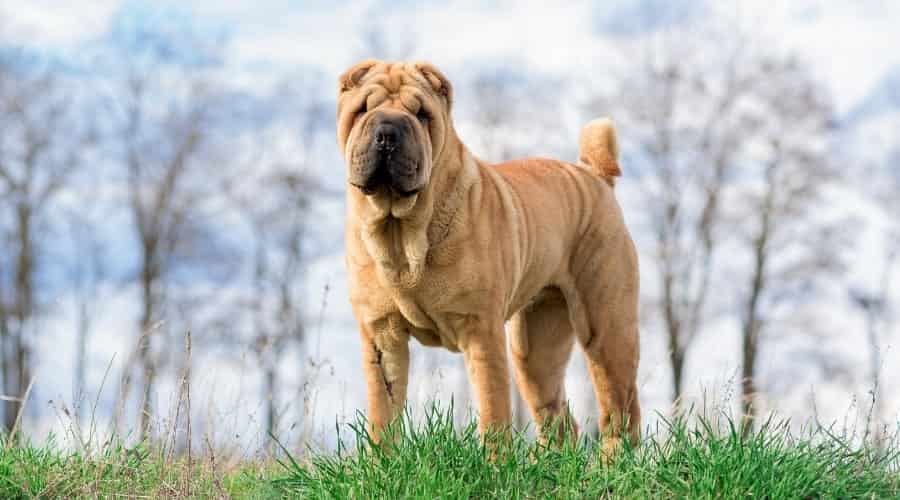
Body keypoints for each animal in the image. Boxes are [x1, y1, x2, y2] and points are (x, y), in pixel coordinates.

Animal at [336, 59, 640, 454]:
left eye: (421, 114)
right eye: (362, 110)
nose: (388, 131)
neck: (402, 233)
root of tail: (594, 175)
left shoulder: (480, 329)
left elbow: (493, 409)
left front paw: (495, 462)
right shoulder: (382, 335)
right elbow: (382, 413)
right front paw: (380, 463)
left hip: (607, 328)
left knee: (620, 408)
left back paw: (613, 463)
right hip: (535, 350)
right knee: (558, 417)